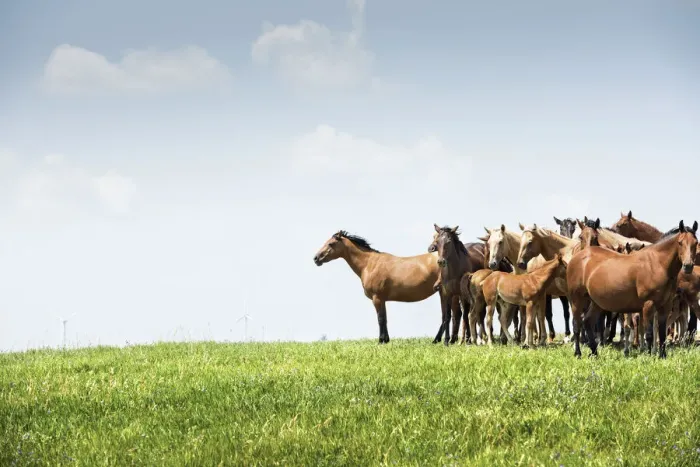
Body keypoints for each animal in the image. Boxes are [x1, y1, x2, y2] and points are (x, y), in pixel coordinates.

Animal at [314, 230, 454, 344]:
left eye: (331, 244)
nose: (316, 258)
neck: (369, 264)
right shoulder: (382, 299)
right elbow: (385, 318)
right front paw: (386, 340)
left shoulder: (377, 298)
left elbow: (380, 319)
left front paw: (381, 341)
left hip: (443, 292)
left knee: (446, 316)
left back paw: (438, 340)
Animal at [566, 220, 698, 359]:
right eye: (680, 242)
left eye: (695, 243)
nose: (688, 266)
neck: (657, 264)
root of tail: (579, 256)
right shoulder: (648, 305)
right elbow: (649, 334)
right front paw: (649, 356)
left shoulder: (665, 306)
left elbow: (661, 333)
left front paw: (662, 356)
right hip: (576, 300)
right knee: (577, 325)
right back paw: (578, 353)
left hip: (596, 302)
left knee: (587, 322)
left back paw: (594, 352)